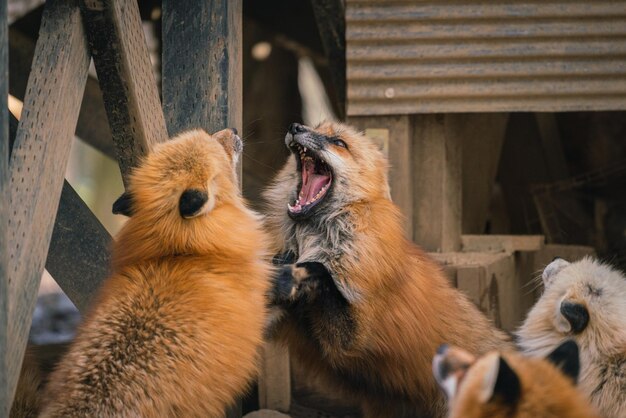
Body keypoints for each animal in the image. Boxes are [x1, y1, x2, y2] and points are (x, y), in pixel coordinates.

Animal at [260, 121, 510, 418]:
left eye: (339, 142)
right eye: (315, 127)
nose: (296, 126)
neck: (314, 239)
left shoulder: (353, 336)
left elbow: (320, 273)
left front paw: (298, 272)